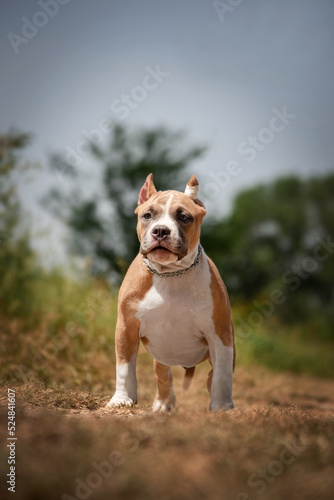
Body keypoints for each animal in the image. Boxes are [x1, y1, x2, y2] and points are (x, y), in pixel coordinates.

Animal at [107, 174, 235, 412]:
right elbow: (124, 368)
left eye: (183, 217)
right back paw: (163, 404)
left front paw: (222, 407)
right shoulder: (126, 328)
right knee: (163, 375)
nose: (160, 230)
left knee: (212, 376)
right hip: (161, 356)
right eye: (148, 215)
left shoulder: (219, 334)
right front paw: (121, 399)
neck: (170, 273)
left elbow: (222, 375)